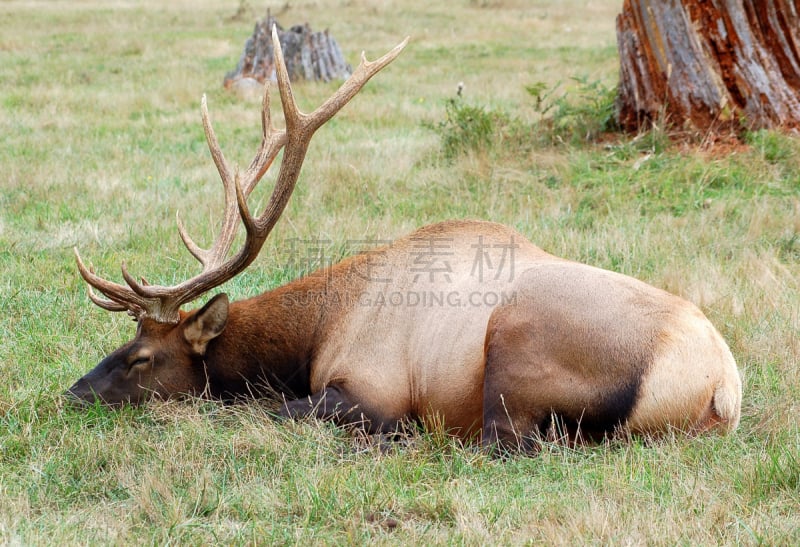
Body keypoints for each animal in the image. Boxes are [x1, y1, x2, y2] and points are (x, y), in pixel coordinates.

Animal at [65, 27, 740, 452]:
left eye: (141, 357)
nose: (72, 394)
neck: (316, 332)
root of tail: (721, 391)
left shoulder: (370, 390)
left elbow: (275, 410)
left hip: (517, 349)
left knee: (507, 442)